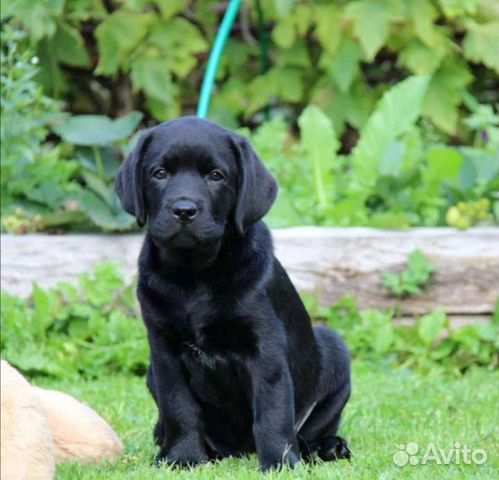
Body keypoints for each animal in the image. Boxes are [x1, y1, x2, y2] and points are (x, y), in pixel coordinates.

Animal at [116, 117, 352, 472]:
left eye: (216, 175)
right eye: (159, 173)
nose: (184, 210)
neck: (194, 274)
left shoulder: (265, 349)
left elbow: (271, 412)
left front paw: (279, 464)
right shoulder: (163, 350)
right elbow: (179, 408)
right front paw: (183, 458)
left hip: (335, 350)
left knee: (311, 429)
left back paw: (327, 447)